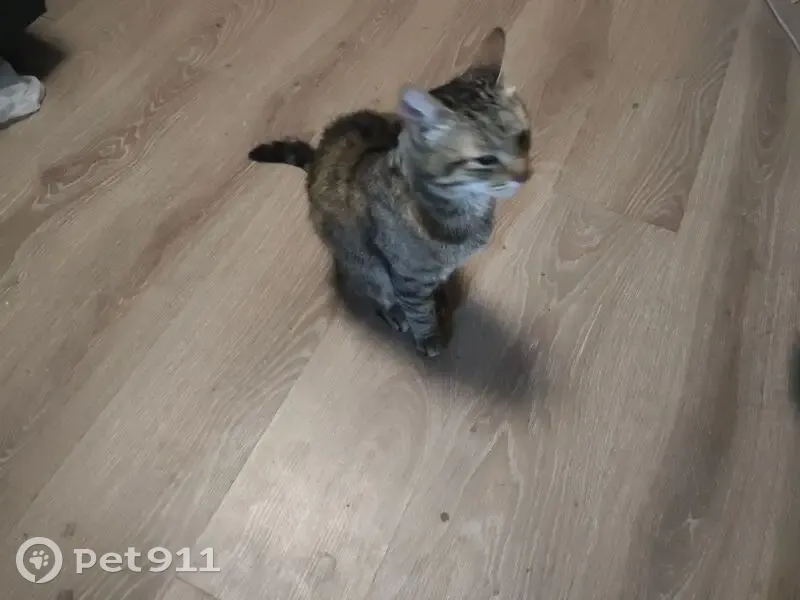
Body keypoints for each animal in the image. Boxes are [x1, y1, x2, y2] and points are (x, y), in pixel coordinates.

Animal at [248, 27, 531, 357]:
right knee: (376, 289)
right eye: (486, 160)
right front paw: (428, 336)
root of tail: (318, 156)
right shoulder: (405, 276)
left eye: (523, 138)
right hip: (363, 263)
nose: (524, 175)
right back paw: (395, 312)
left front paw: (439, 297)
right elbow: (417, 310)